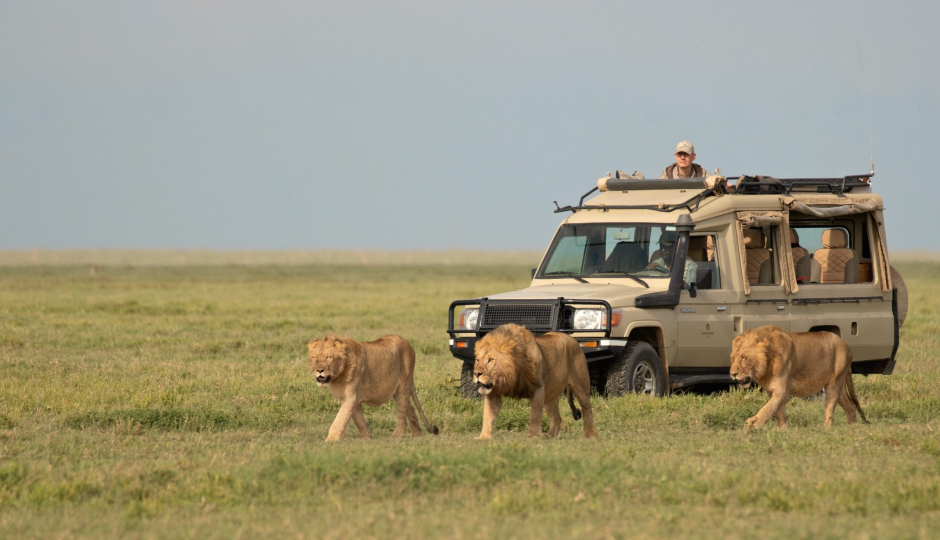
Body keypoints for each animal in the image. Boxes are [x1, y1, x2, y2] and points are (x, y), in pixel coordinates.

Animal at [310, 334, 438, 442]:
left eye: (328, 357)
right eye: (314, 358)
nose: (319, 370)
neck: (337, 375)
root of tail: (408, 343)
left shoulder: (351, 396)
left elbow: (340, 419)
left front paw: (330, 441)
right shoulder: (354, 399)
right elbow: (359, 421)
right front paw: (367, 439)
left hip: (403, 385)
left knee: (402, 415)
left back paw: (395, 437)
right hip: (397, 390)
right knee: (409, 407)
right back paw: (418, 435)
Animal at [732, 324, 872, 430]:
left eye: (744, 358)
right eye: (732, 358)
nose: (733, 374)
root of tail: (847, 346)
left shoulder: (782, 391)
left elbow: (768, 408)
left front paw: (753, 423)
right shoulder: (771, 391)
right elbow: (778, 411)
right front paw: (783, 430)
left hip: (834, 382)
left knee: (830, 408)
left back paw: (825, 429)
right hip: (840, 386)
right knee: (850, 406)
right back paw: (851, 428)